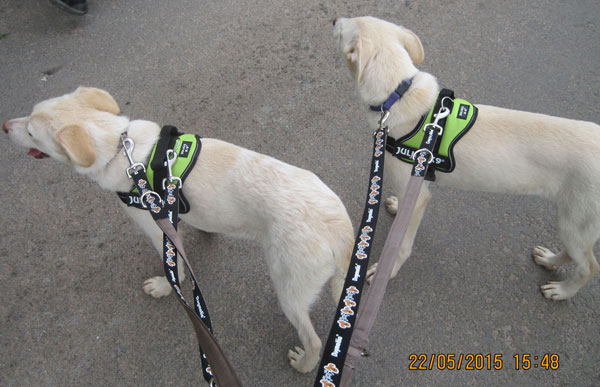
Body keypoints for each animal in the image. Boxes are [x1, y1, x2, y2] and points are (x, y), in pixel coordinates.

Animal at [2, 87, 354, 372]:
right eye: (29, 113)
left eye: (31, 133)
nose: (5, 127)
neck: (121, 147)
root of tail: (341, 230)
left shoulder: (155, 227)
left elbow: (175, 269)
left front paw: (163, 285)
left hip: (288, 287)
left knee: (313, 339)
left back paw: (304, 363)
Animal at [332, 16, 600, 302]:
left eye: (345, 26)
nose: (335, 19)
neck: (399, 94)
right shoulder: (417, 184)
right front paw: (394, 205)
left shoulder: (416, 194)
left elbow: (401, 244)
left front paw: (388, 270)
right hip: (572, 220)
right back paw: (549, 260)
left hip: (576, 222)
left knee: (589, 266)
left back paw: (562, 290)